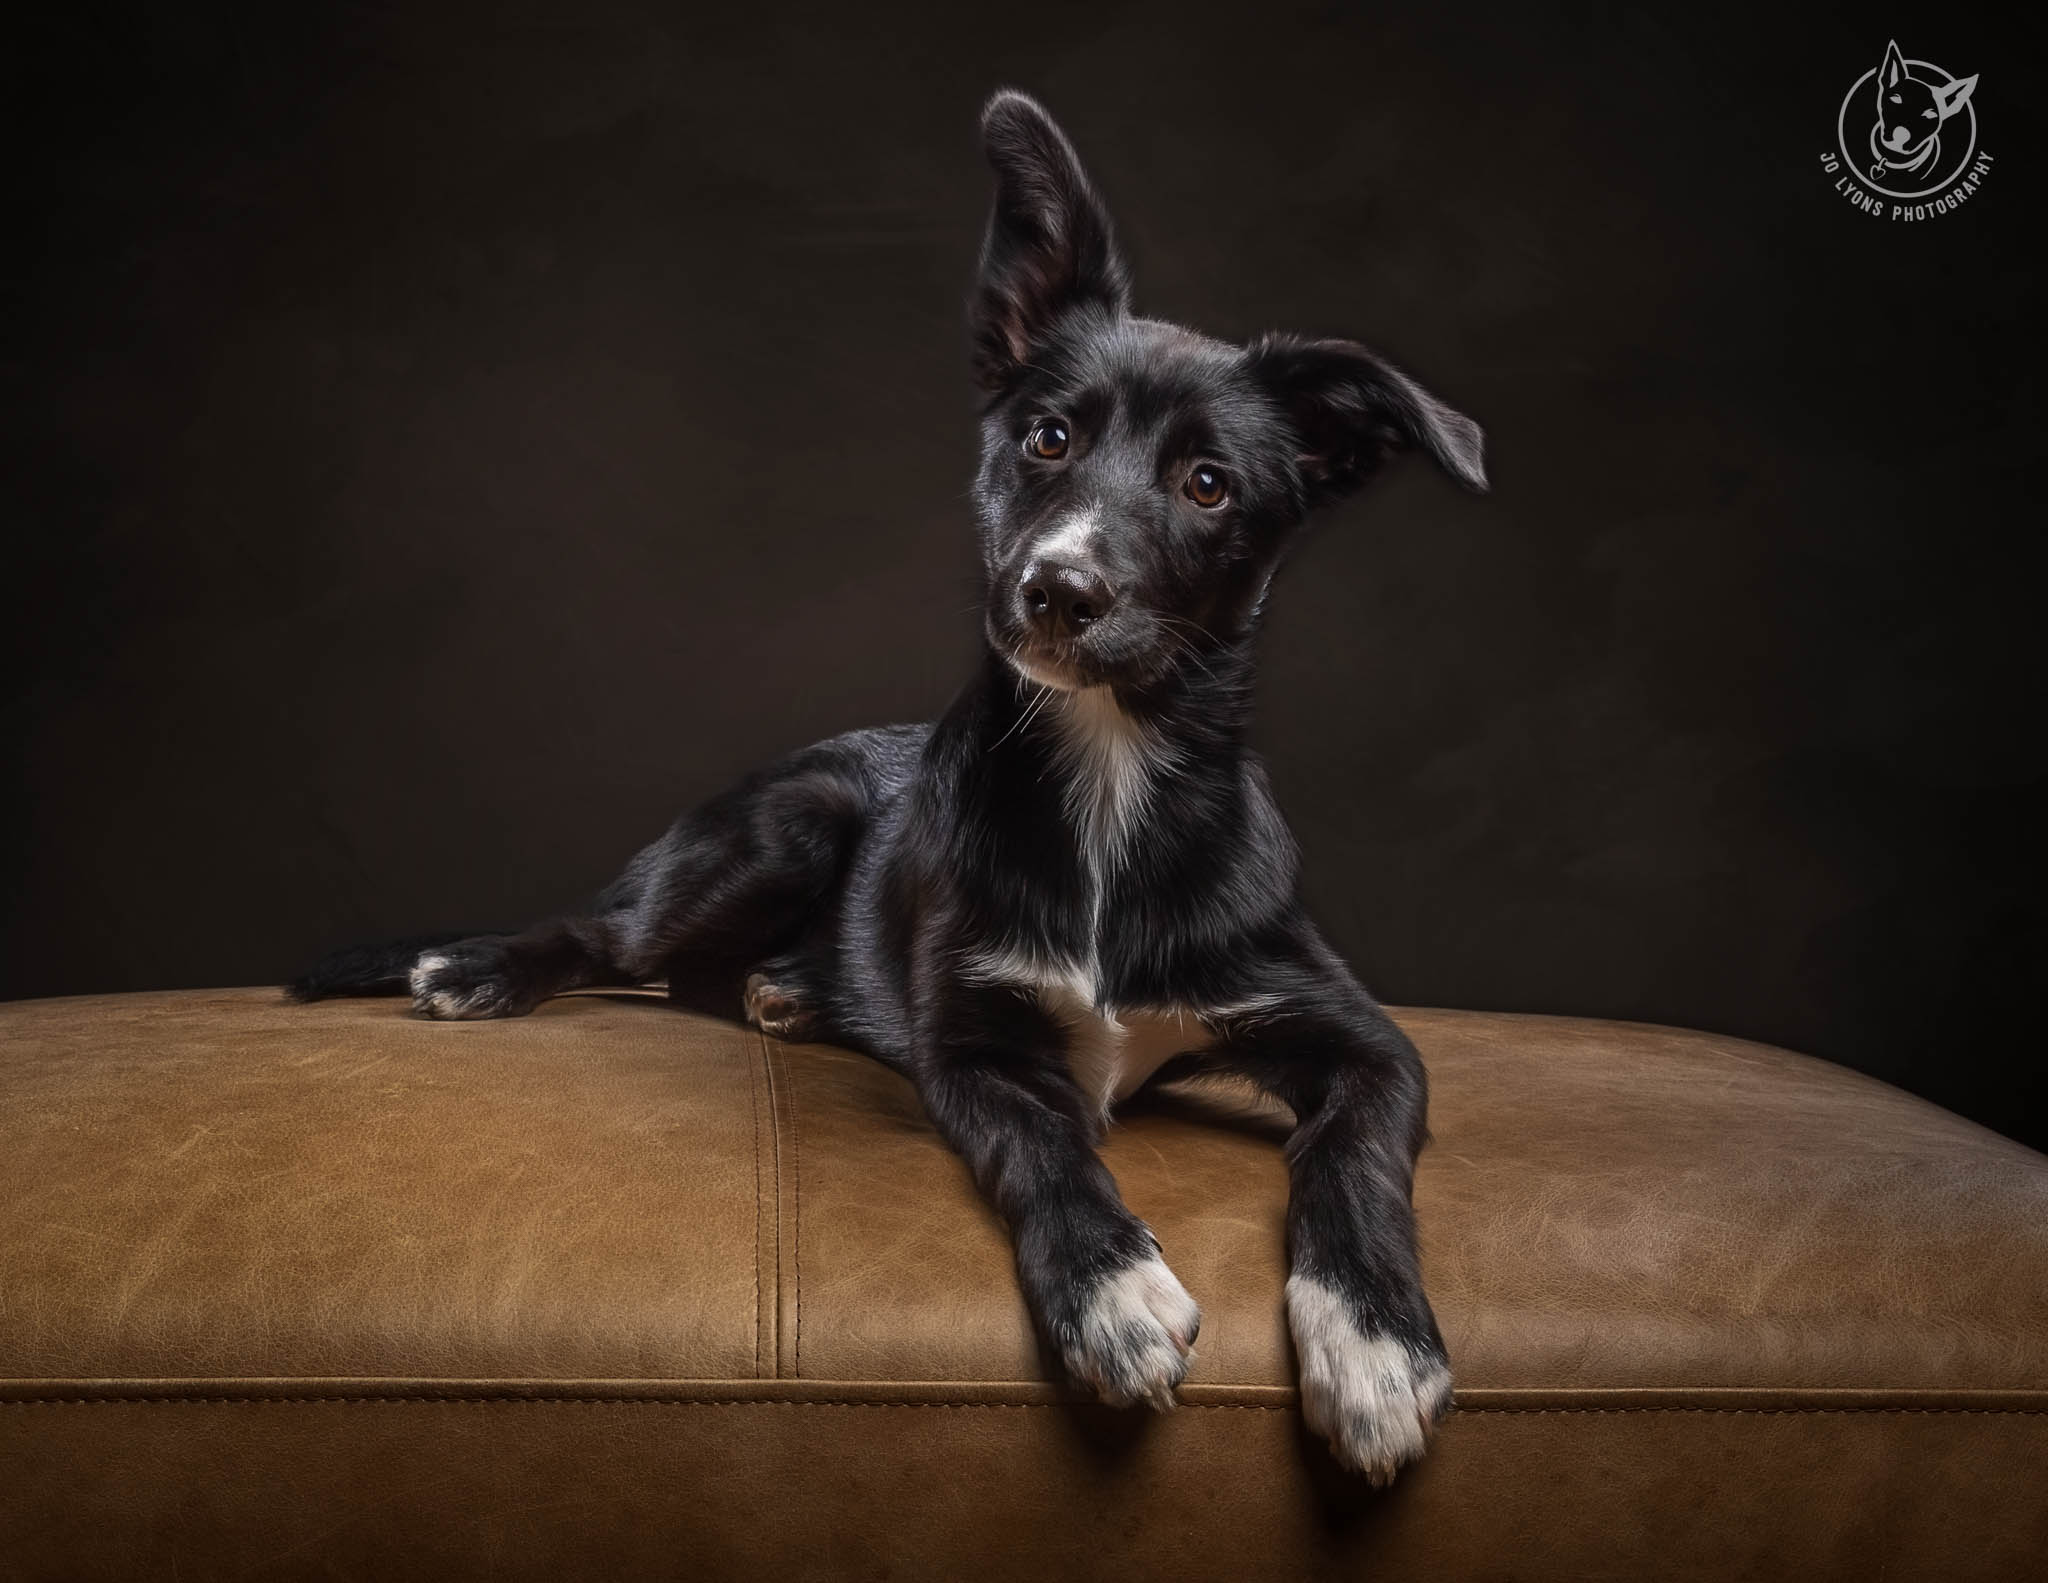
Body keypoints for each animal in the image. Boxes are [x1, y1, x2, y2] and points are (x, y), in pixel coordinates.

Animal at [292, 92, 1490, 1482]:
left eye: (1207, 485)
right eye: (1047, 437)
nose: (1056, 589)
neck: (1106, 777)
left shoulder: (1362, 1039)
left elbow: (1355, 1153)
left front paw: (1372, 1339)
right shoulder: (970, 1048)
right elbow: (1043, 1143)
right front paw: (1111, 1288)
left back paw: (786, 989)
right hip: (785, 819)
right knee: (608, 935)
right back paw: (486, 967)